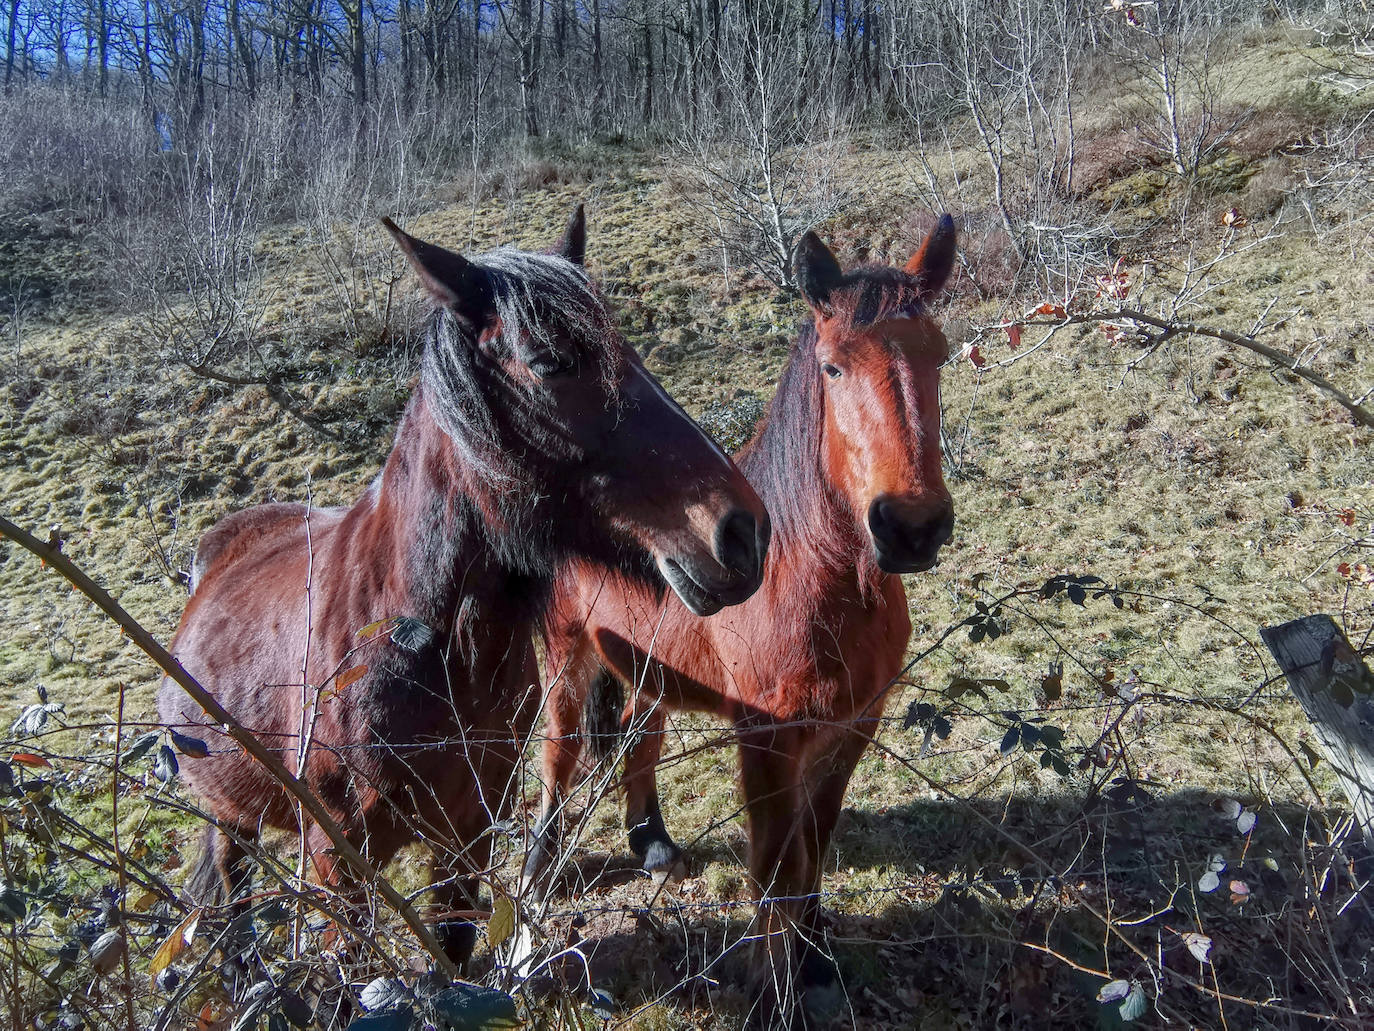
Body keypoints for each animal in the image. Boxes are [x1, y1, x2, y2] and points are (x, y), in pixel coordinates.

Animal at [158, 207, 774, 967]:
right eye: (547, 362)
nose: (743, 533)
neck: (417, 640)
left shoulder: (471, 831)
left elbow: (452, 948)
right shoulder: (339, 859)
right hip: (228, 812)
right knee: (228, 888)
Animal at [524, 218, 956, 1028]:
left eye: (939, 354)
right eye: (833, 368)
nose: (910, 527)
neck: (812, 571)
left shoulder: (853, 726)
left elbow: (813, 845)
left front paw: (815, 956)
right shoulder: (767, 740)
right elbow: (773, 865)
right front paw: (770, 984)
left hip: (648, 664)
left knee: (638, 735)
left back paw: (653, 843)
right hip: (567, 657)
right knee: (560, 758)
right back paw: (538, 871)